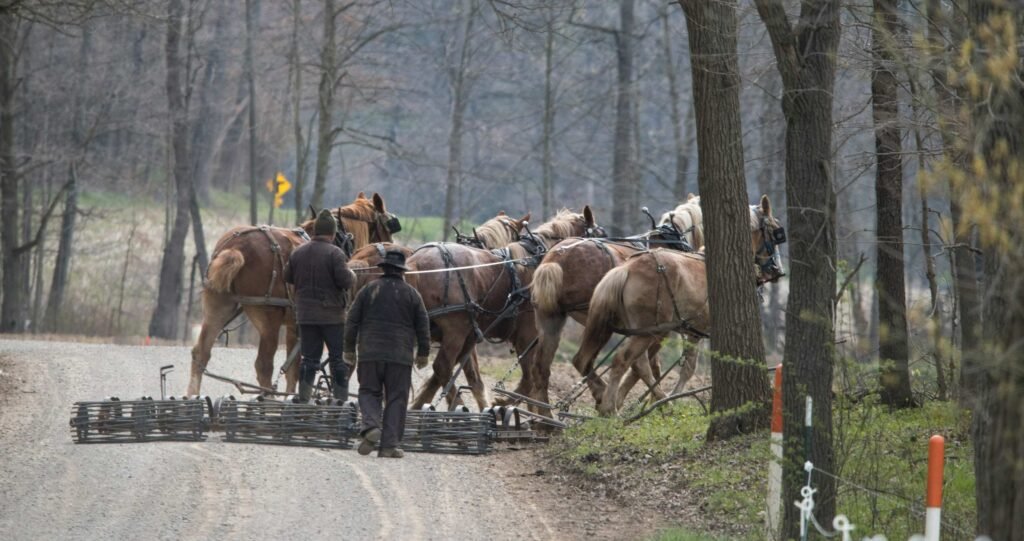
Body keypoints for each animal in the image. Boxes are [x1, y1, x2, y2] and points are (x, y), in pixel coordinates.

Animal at [188, 192, 399, 395]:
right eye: (388, 226)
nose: (390, 248)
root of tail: (236, 248)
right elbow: (299, 368)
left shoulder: (294, 326)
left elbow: (293, 370)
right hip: (268, 319)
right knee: (263, 366)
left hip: (218, 306)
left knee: (201, 353)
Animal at [407, 206, 598, 409]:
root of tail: (416, 262)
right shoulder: (526, 337)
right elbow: (529, 379)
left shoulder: (471, 337)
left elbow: (466, 376)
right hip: (455, 330)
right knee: (442, 366)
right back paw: (459, 404)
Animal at [528, 196, 704, 411]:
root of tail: (556, 259)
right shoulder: (659, 329)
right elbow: (644, 365)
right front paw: (652, 401)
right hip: (602, 322)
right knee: (583, 361)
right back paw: (601, 395)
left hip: (551, 318)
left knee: (542, 370)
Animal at [573, 196, 786, 415]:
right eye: (776, 231)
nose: (778, 271)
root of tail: (626, 268)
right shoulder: (701, 331)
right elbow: (690, 369)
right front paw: (675, 398)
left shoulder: (692, 332)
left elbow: (686, 367)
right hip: (648, 331)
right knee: (624, 361)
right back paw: (614, 408)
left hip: (637, 331)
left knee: (633, 363)